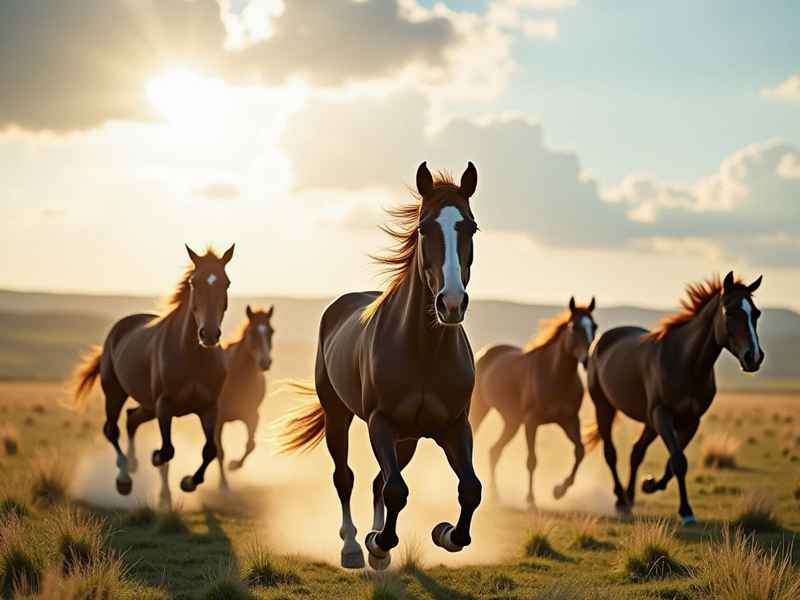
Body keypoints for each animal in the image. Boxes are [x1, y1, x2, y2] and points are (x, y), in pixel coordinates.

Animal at [73, 245, 234, 504]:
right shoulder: (164, 406)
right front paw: (155, 457)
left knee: (131, 419)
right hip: (116, 394)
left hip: (147, 405)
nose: (209, 334)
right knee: (112, 429)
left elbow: (210, 450)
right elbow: (167, 450)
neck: (192, 356)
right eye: (194, 282)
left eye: (226, 283)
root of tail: (118, 329)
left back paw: (133, 464)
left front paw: (188, 482)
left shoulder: (209, 407)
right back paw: (124, 478)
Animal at [215, 305, 274, 490]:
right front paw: (223, 485)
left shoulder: (252, 416)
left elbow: (251, 445)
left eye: (271, 331)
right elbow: (220, 452)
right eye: (252, 332)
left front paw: (234, 465)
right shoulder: (218, 420)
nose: (265, 362)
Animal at [277, 162, 481, 570]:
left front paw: (445, 534)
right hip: (338, 417)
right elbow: (395, 490)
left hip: (409, 439)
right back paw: (353, 546)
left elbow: (469, 490)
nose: (451, 303)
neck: (424, 351)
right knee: (346, 478)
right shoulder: (380, 423)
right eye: (424, 228)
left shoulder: (454, 426)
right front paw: (376, 542)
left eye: (470, 227)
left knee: (377, 480)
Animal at [470, 297, 597, 508]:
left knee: (494, 451)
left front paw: (559, 490)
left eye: (594, 326)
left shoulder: (570, 420)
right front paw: (530, 500)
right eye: (574, 326)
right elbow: (532, 460)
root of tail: (484, 354)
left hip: (512, 422)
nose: (586, 360)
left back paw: (495, 495)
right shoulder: (532, 422)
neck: (556, 376)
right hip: (481, 410)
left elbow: (580, 451)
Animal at [585, 271, 764, 524]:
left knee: (636, 452)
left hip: (649, 422)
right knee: (611, 453)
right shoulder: (663, 415)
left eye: (756, 313)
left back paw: (629, 499)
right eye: (729, 311)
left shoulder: (690, 421)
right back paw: (620, 498)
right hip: (605, 407)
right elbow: (679, 461)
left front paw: (650, 485)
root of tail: (600, 341)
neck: (685, 363)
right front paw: (686, 511)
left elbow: (674, 462)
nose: (754, 357)